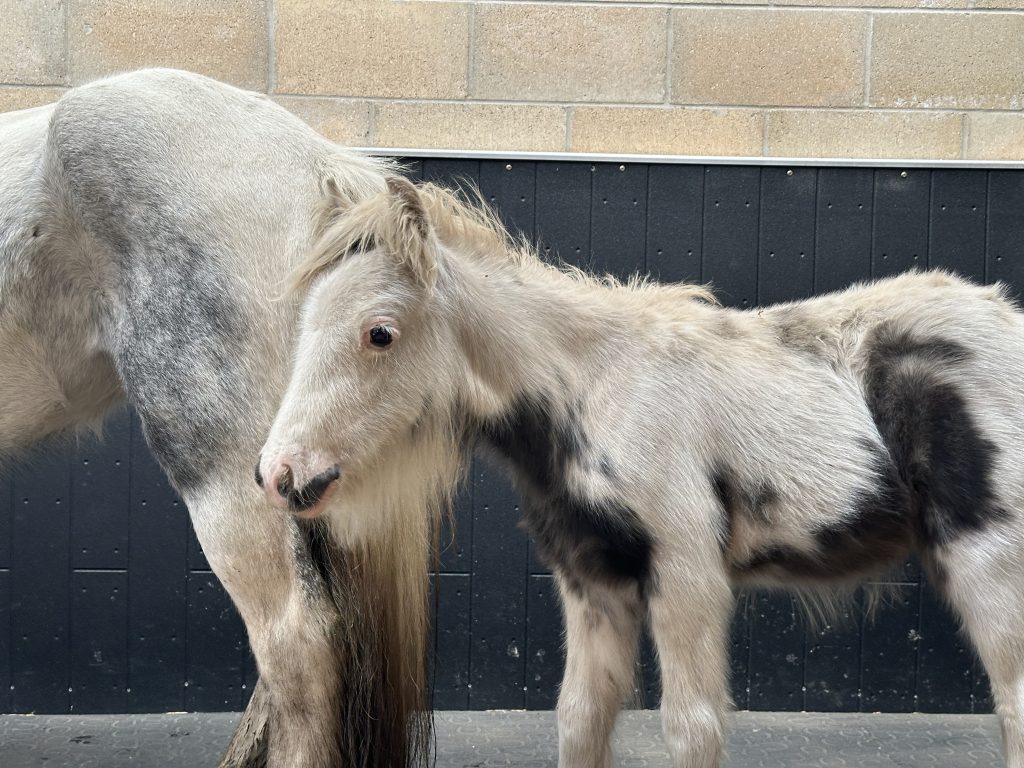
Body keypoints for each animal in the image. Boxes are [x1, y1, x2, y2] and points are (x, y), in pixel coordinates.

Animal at [258, 176, 1024, 768]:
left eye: (380, 333)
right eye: (305, 322)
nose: (281, 473)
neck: (598, 389)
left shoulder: (686, 577)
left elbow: (691, 727)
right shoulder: (592, 582)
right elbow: (581, 717)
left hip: (990, 566)